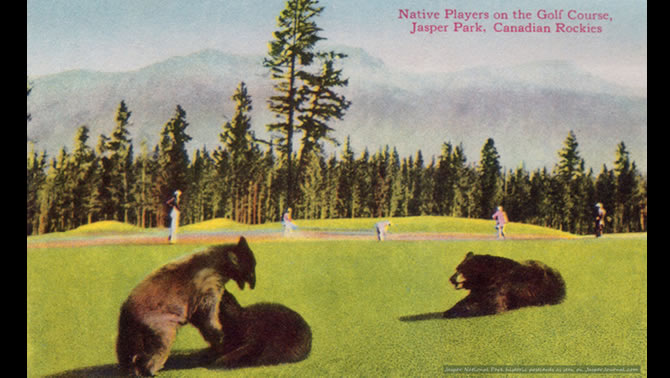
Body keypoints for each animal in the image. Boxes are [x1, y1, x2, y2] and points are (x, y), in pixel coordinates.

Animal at [116, 236, 258, 376]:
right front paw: (220, 337)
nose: (254, 284)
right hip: (161, 328)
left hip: (129, 337)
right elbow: (208, 315)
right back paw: (150, 370)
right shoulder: (208, 288)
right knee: (154, 352)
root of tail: (127, 312)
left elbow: (203, 322)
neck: (219, 262)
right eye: (251, 266)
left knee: (127, 353)